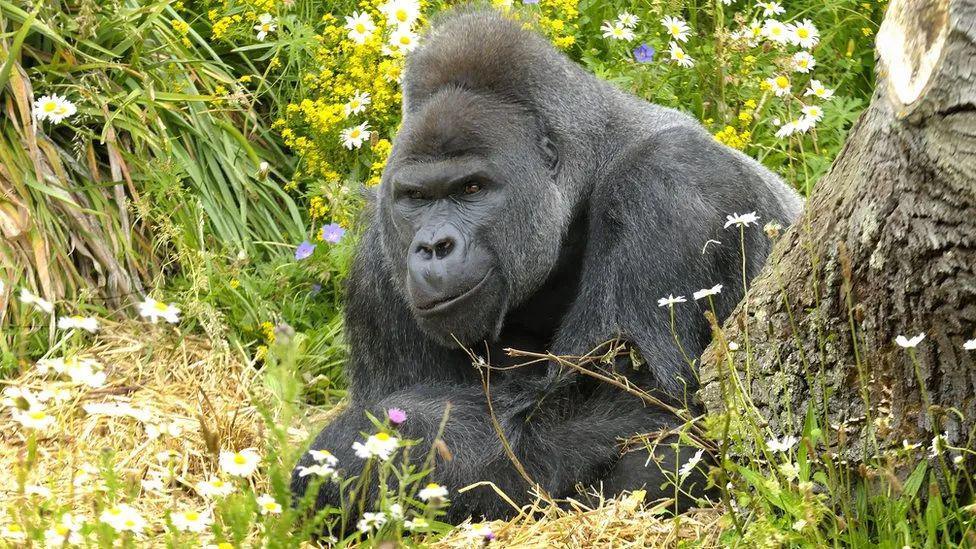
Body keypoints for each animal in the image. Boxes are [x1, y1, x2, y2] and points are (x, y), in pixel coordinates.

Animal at [294, 6, 804, 524]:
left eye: (472, 188)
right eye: (415, 197)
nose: (434, 246)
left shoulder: (671, 181)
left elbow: (647, 410)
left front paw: (350, 452)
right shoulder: (379, 265)